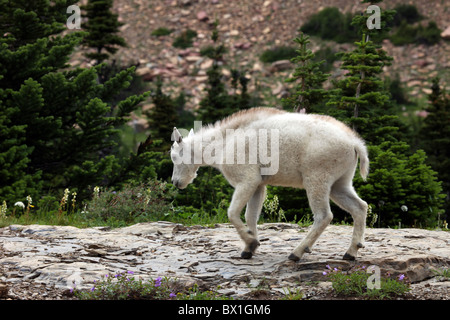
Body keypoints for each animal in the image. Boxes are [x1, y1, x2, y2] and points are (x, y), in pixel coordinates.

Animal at [171, 106, 368, 262]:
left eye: (174, 156)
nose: (176, 182)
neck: (222, 145)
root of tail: (355, 144)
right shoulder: (258, 185)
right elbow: (251, 215)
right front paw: (248, 250)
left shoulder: (247, 180)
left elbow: (232, 213)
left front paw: (251, 242)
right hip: (340, 182)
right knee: (360, 206)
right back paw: (350, 253)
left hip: (317, 178)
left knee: (324, 216)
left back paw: (296, 253)